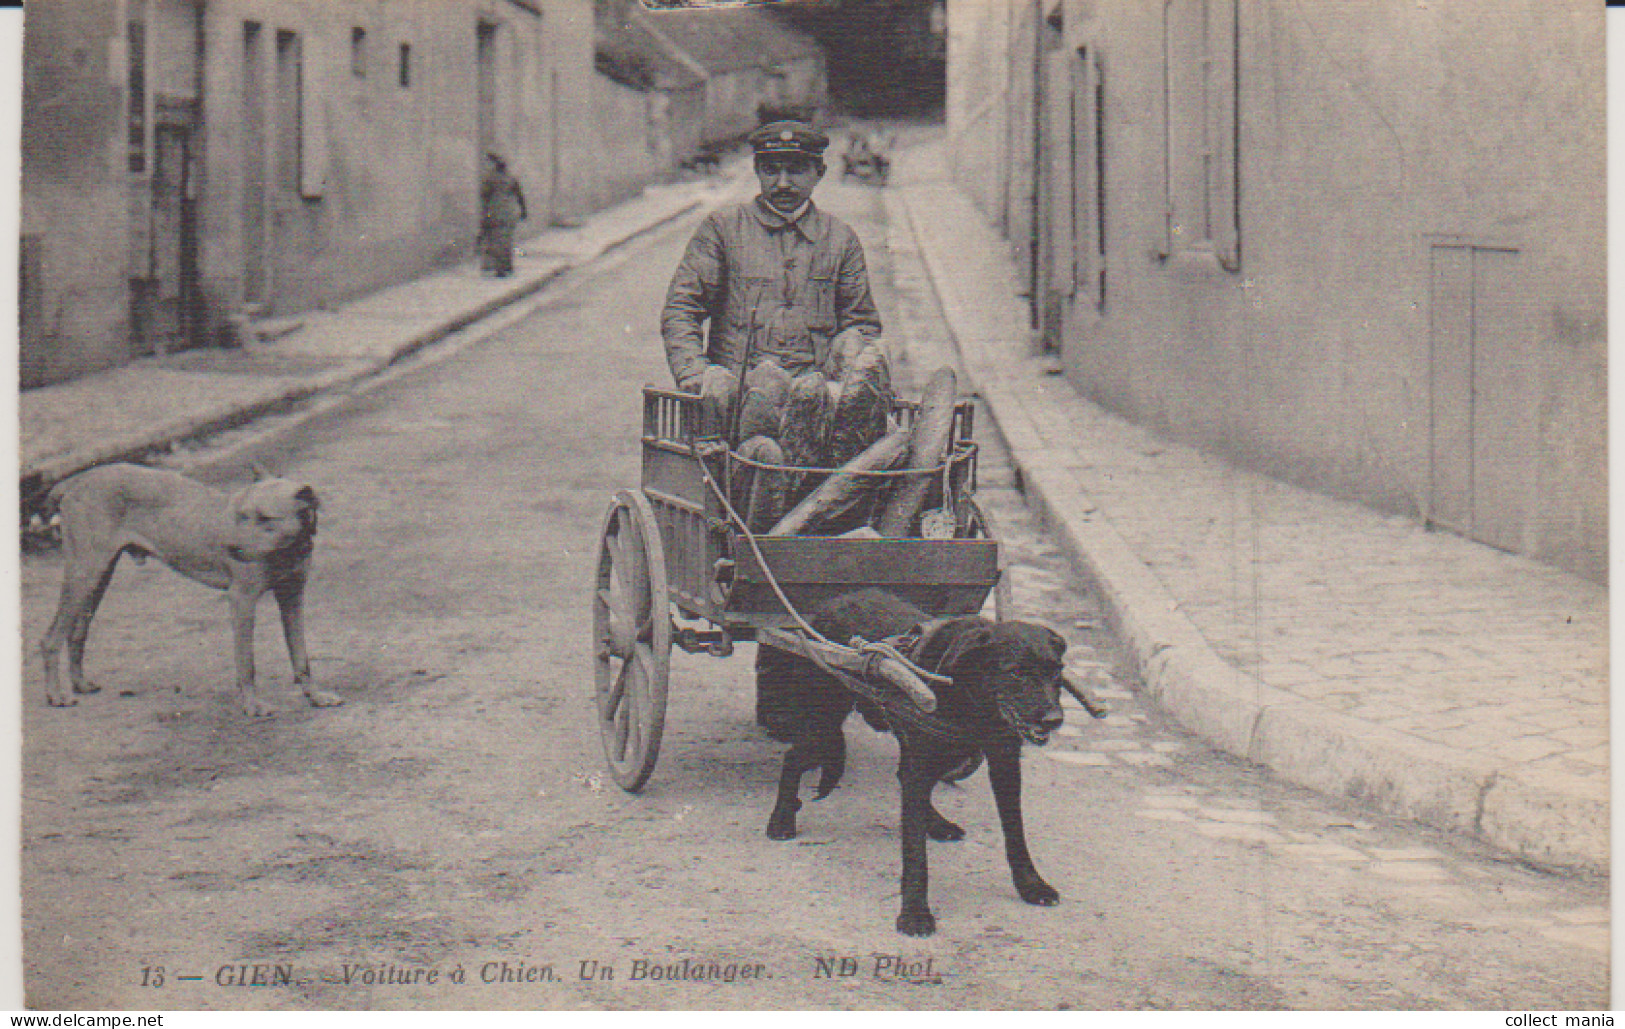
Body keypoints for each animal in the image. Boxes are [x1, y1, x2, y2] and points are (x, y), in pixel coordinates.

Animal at [37, 461, 339, 708]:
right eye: (241, 514)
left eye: (266, 518)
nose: (230, 547)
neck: (287, 549)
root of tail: (77, 480)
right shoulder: (242, 600)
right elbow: (247, 662)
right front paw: (253, 705)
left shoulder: (292, 598)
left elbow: (301, 656)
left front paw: (315, 695)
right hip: (84, 574)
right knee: (51, 638)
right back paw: (56, 695)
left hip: (98, 578)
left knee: (76, 633)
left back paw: (80, 683)